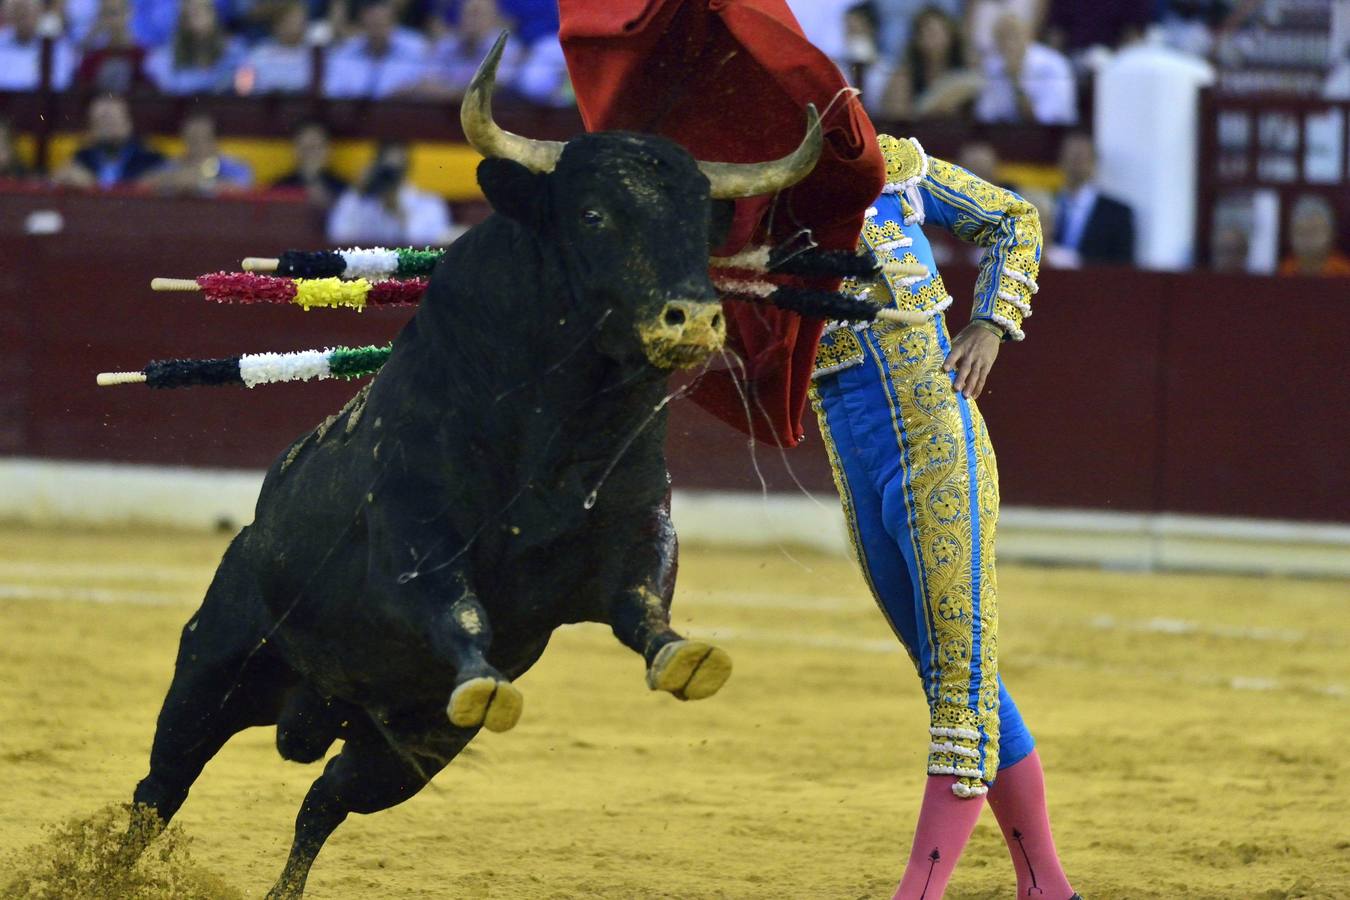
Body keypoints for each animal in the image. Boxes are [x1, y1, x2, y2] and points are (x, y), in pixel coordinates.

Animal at [124, 54, 820, 900]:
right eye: (593, 215)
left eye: (696, 222)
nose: (692, 318)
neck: (561, 416)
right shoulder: (414, 538)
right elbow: (458, 608)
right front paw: (486, 682)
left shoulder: (636, 524)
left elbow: (644, 602)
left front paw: (688, 659)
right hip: (212, 667)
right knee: (160, 788)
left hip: (402, 753)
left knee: (322, 800)